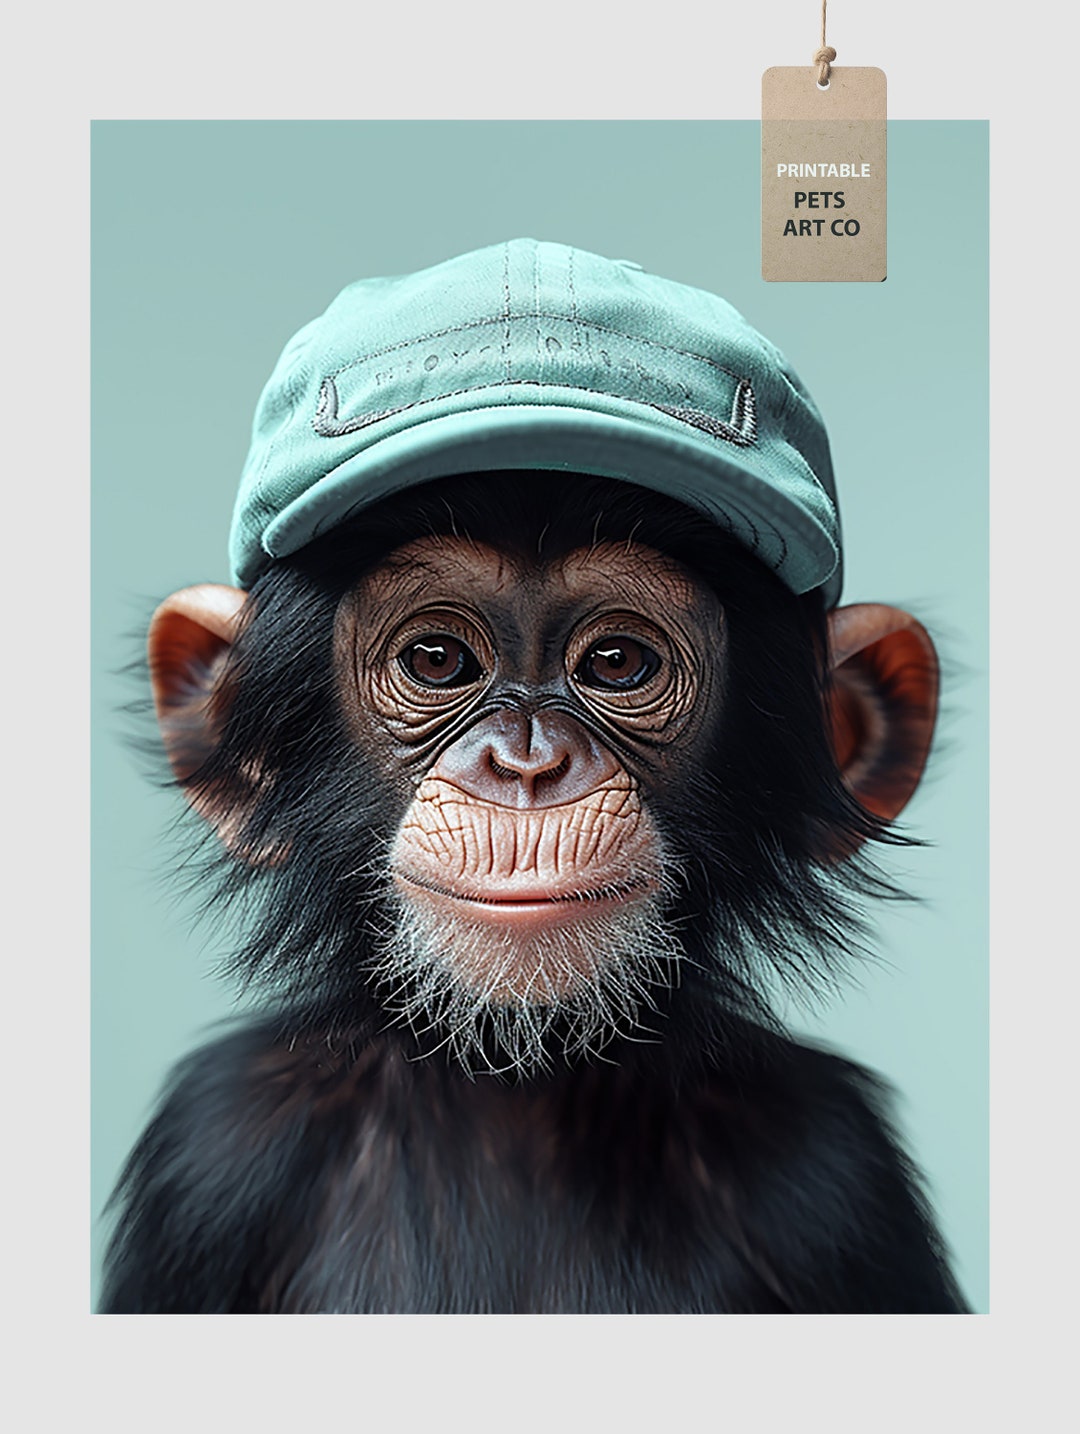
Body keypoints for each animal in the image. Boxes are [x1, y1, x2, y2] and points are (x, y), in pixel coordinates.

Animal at [100, 240, 969, 1313]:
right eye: (437, 660)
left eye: (618, 664)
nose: (527, 763)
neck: (516, 1075)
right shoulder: (209, 1152)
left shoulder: (839, 1175)